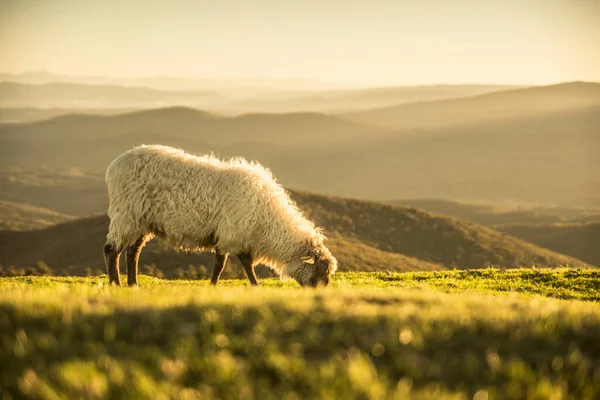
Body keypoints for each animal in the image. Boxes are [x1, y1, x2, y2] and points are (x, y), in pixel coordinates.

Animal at [103, 145, 338, 286]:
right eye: (319, 272)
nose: (319, 293)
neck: (268, 222)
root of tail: (114, 165)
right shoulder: (233, 232)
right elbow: (237, 263)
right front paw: (253, 285)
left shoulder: (227, 234)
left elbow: (223, 263)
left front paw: (215, 284)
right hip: (126, 214)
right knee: (111, 250)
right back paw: (116, 284)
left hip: (142, 221)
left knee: (133, 252)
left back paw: (133, 284)